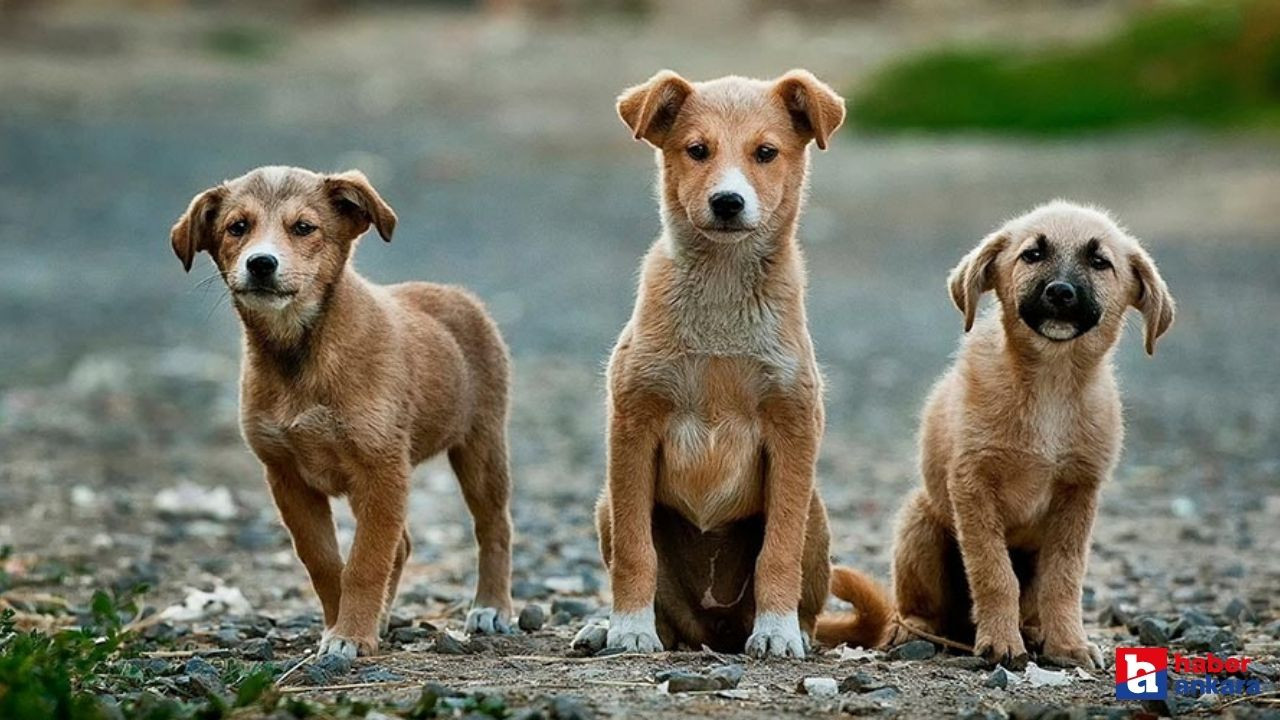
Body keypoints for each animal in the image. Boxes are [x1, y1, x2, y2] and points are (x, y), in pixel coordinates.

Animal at [170, 166, 514, 655]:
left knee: (493, 527)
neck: (300, 354)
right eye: (237, 227)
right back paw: (384, 618)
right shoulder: (287, 476)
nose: (261, 264)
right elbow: (325, 562)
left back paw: (491, 607)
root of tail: (456, 294)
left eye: (304, 228)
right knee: (402, 545)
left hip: (480, 446)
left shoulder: (382, 469)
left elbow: (366, 561)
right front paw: (341, 626)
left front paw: (351, 635)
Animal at [885, 198, 1172, 666]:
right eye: (1033, 254)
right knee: (920, 606)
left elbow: (1064, 578)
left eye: (1099, 262)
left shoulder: (1078, 493)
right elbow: (994, 572)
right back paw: (911, 630)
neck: (1051, 383)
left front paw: (1068, 643)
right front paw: (1001, 642)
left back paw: (1035, 632)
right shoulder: (972, 484)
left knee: (1034, 601)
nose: (1060, 292)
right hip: (919, 522)